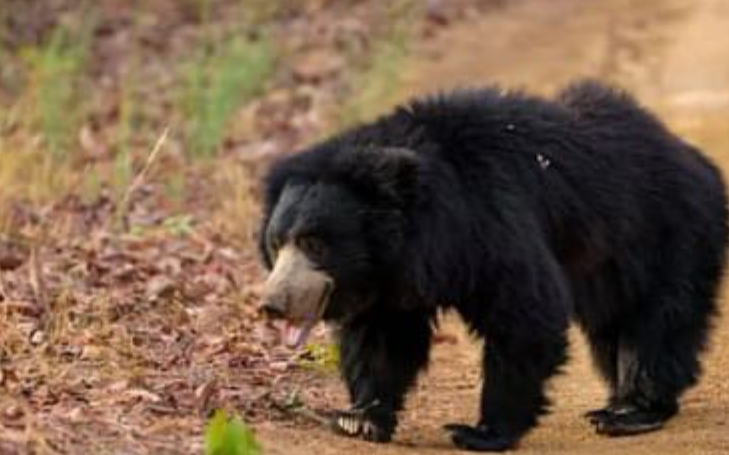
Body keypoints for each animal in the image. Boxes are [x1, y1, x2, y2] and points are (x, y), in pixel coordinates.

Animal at [258, 81, 724, 452]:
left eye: (314, 243)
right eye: (276, 244)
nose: (272, 305)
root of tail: (697, 160)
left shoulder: (491, 222)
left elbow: (524, 313)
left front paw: (480, 432)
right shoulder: (390, 279)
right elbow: (383, 339)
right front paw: (358, 418)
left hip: (668, 236)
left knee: (657, 323)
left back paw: (630, 412)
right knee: (614, 329)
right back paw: (621, 402)